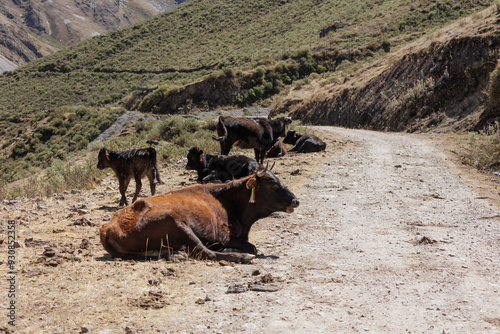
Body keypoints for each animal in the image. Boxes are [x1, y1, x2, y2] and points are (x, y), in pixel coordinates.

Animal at [99, 166, 298, 262]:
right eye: (272, 183)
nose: (296, 200)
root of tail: (108, 226)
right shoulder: (224, 236)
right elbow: (251, 247)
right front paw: (243, 250)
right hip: (178, 223)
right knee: (206, 252)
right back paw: (241, 256)